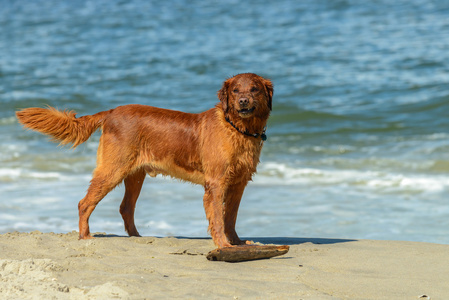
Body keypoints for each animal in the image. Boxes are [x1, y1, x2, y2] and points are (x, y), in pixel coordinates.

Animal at [14, 73, 272, 248]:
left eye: (254, 89)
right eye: (236, 90)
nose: (244, 101)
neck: (237, 129)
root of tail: (110, 112)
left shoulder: (238, 183)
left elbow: (231, 217)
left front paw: (237, 242)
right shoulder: (216, 184)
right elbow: (218, 218)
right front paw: (224, 245)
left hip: (134, 175)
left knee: (125, 207)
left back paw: (136, 237)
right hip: (112, 170)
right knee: (84, 203)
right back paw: (85, 236)